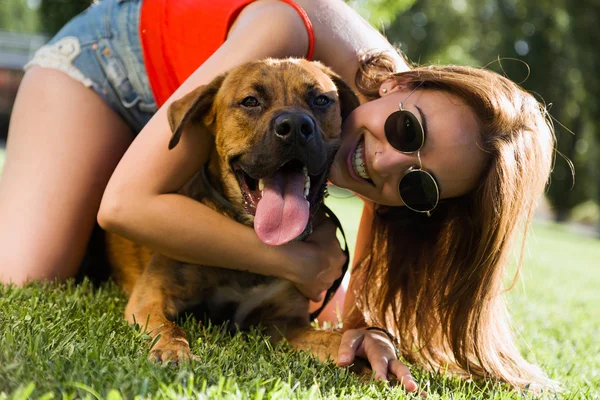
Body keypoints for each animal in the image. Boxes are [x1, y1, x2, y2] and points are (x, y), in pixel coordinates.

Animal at [106, 57, 360, 368]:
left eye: (321, 100)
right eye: (250, 101)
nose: (295, 125)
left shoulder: (287, 323)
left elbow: (334, 340)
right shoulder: (150, 297)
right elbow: (169, 326)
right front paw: (172, 350)